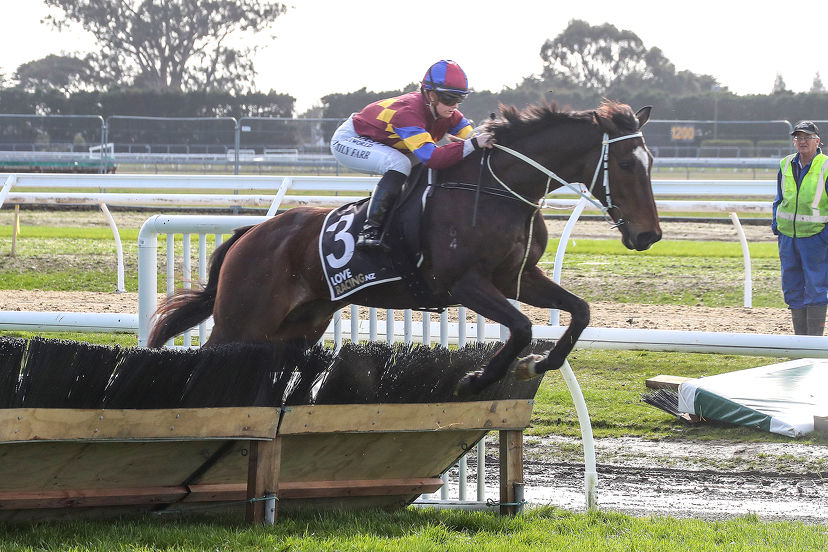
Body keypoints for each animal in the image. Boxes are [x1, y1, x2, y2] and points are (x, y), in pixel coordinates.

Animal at [149, 101, 664, 396]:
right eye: (624, 163)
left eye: (651, 160)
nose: (648, 235)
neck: (498, 189)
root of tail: (251, 234)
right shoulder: (464, 282)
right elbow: (519, 327)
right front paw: (478, 378)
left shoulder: (517, 278)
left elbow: (580, 312)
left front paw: (538, 364)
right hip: (243, 319)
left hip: (297, 327)